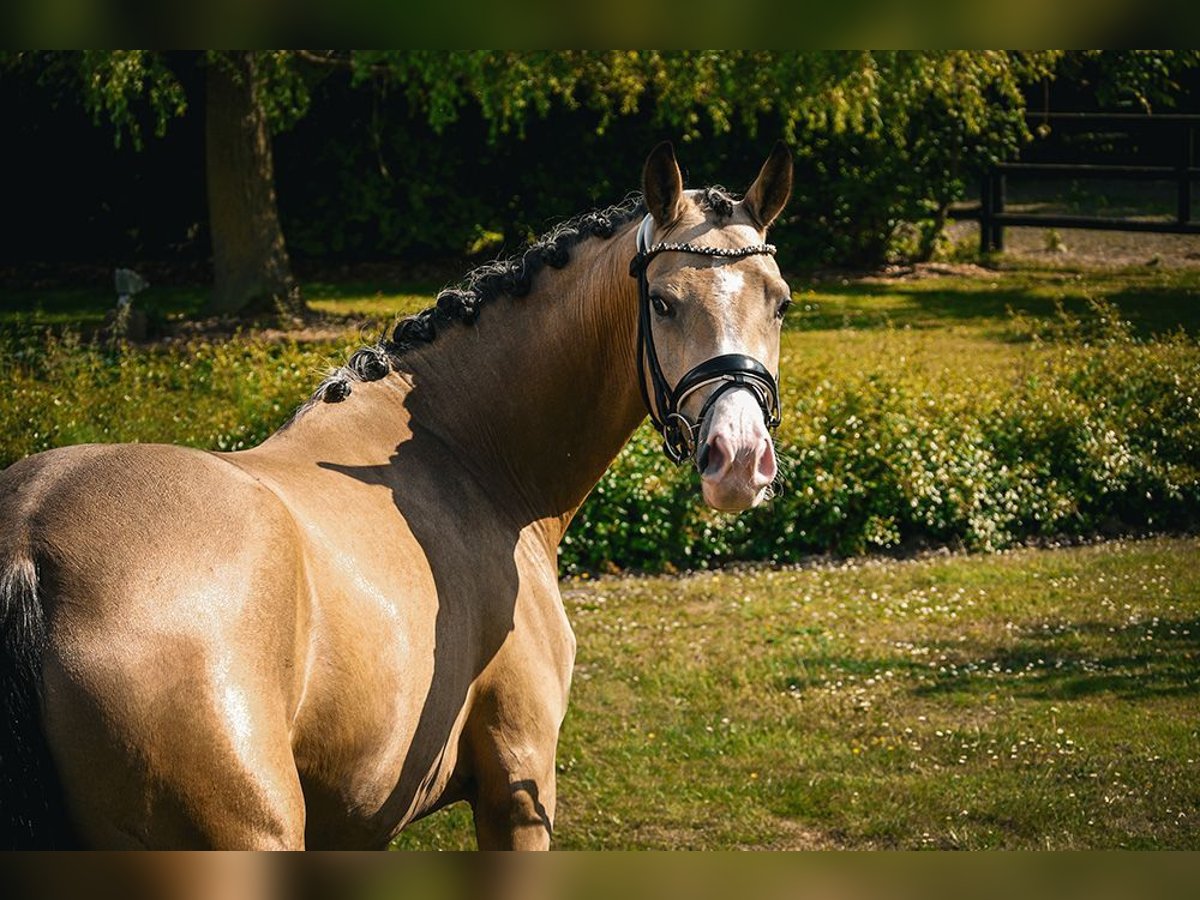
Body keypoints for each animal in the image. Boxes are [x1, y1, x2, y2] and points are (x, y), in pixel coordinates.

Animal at [2, 142, 796, 854]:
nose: (738, 458)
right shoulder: (518, 786)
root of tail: (31, 544)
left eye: (782, 304)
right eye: (662, 301)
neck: (466, 456)